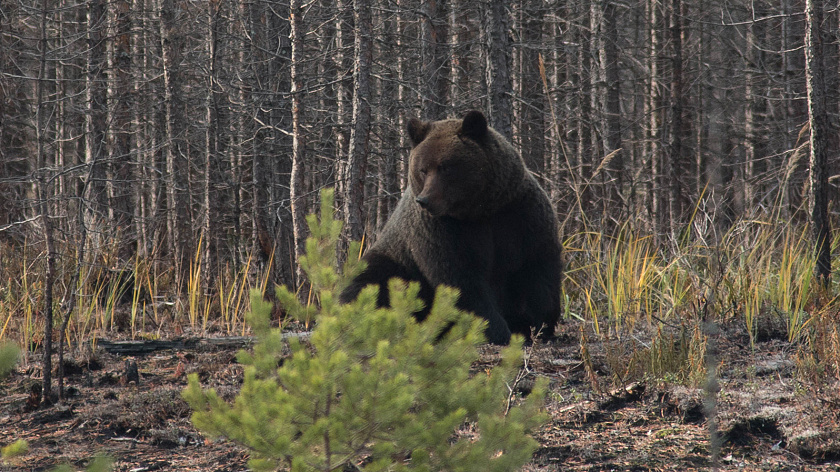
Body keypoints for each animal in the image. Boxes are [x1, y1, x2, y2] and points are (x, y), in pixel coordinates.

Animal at [338, 109, 560, 342]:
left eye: (445, 167)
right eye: (423, 169)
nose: (424, 200)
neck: (479, 210)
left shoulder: (520, 214)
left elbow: (538, 270)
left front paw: (537, 326)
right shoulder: (442, 229)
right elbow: (460, 277)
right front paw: (497, 330)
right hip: (396, 261)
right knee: (368, 280)